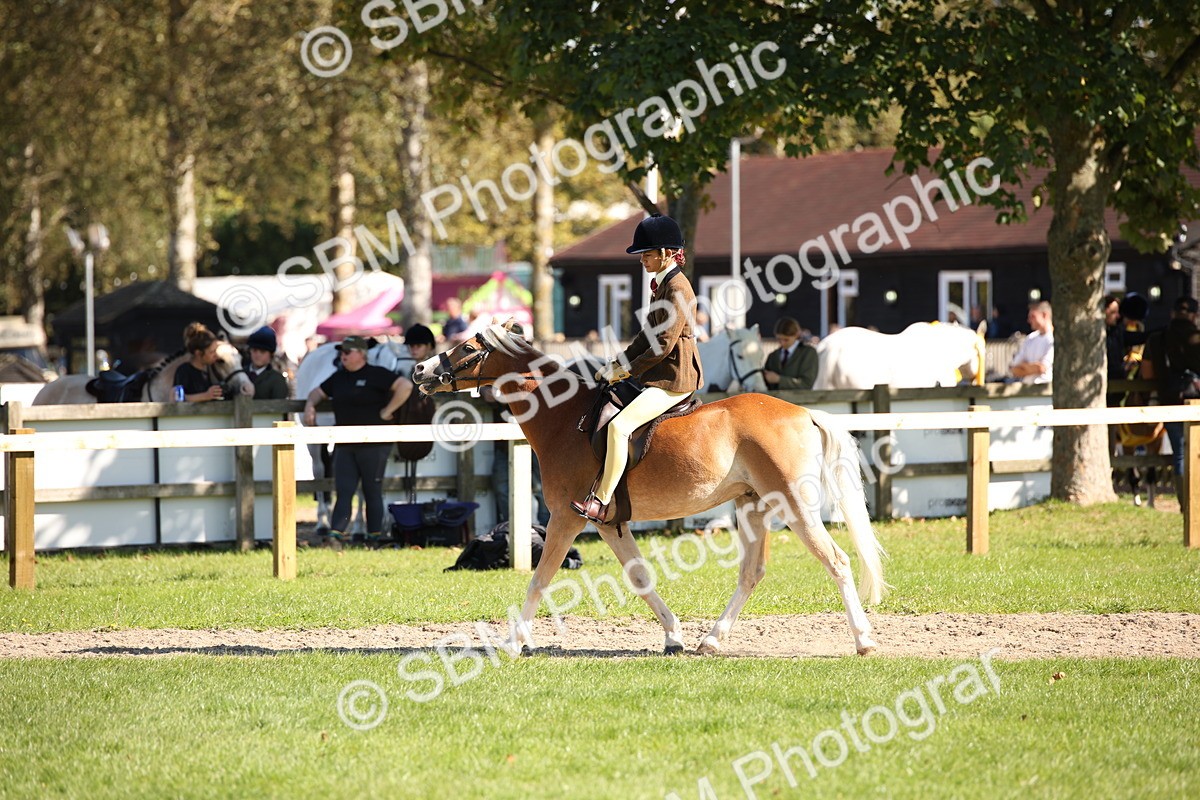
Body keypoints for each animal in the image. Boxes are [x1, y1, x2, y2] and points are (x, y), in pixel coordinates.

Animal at [412, 321, 886, 657]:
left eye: (468, 348)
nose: (420, 370)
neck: (565, 418)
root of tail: (803, 411)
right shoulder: (607, 523)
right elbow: (639, 576)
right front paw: (674, 636)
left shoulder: (565, 519)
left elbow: (539, 580)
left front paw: (513, 642)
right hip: (752, 507)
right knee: (751, 573)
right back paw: (711, 640)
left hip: (793, 505)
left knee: (837, 561)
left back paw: (863, 640)